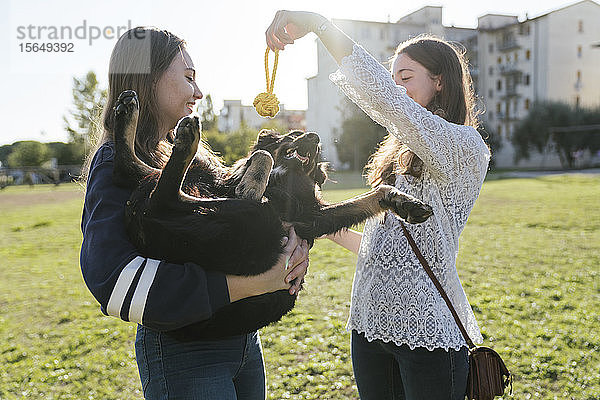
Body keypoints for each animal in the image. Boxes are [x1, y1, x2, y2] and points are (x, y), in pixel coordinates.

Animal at [112, 89, 432, 340]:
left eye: (316, 152)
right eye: (294, 134)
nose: (315, 136)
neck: (286, 178)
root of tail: (140, 227)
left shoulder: (310, 219)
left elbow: (372, 196)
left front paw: (405, 202)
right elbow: (263, 156)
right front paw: (253, 177)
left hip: (251, 221)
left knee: (160, 191)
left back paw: (180, 135)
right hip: (213, 194)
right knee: (141, 170)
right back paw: (134, 114)